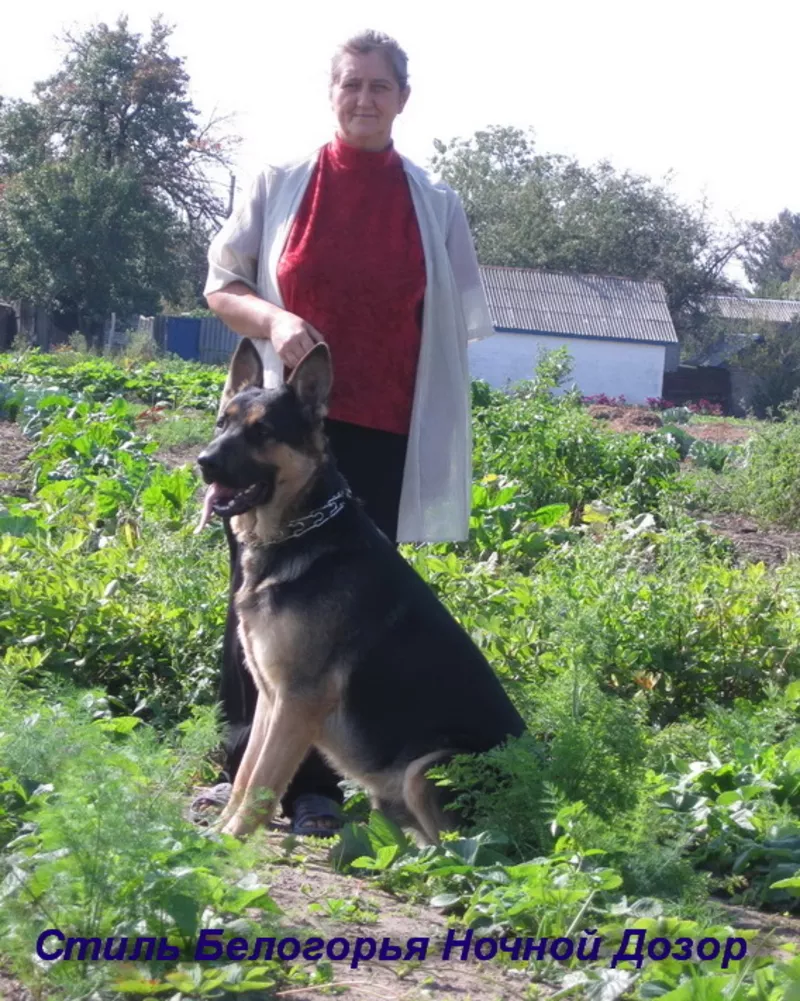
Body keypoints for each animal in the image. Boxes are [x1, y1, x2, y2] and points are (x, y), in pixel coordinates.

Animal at [197, 340, 524, 840]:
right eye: (222, 423)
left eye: (261, 432)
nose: (204, 462)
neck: (300, 532)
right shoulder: (271, 700)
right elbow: (248, 773)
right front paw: (217, 833)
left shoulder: (296, 702)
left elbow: (262, 785)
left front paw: (230, 842)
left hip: (427, 768)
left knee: (472, 853)